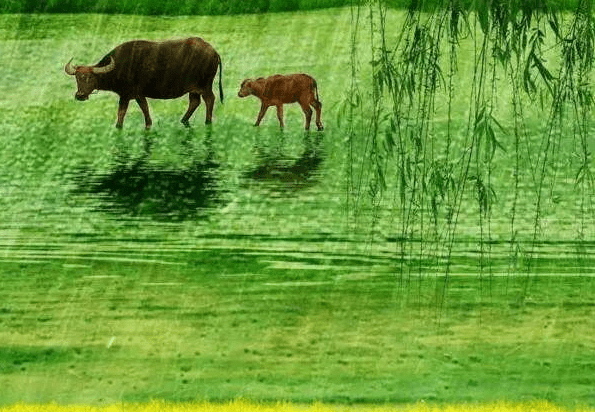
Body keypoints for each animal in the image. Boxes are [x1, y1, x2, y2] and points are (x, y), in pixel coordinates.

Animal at [64, 38, 224, 130]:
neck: (120, 66)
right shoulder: (138, 95)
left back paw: (208, 122)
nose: (80, 95)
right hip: (193, 88)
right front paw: (148, 124)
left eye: (90, 78)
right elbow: (145, 108)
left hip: (205, 85)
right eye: (77, 78)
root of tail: (214, 51)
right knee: (194, 102)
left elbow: (122, 112)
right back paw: (183, 120)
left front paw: (119, 126)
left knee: (210, 99)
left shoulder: (127, 94)